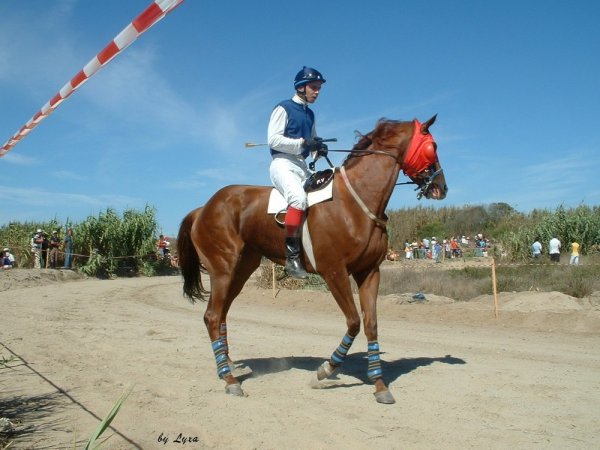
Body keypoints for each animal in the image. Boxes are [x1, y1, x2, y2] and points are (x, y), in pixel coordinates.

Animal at [178, 115, 446, 404]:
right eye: (433, 146)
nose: (441, 187)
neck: (355, 202)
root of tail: (203, 208)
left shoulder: (370, 272)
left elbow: (371, 324)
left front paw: (379, 385)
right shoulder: (334, 272)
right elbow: (354, 322)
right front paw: (325, 370)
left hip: (241, 271)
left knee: (221, 315)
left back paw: (226, 365)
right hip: (222, 270)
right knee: (213, 316)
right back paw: (229, 379)